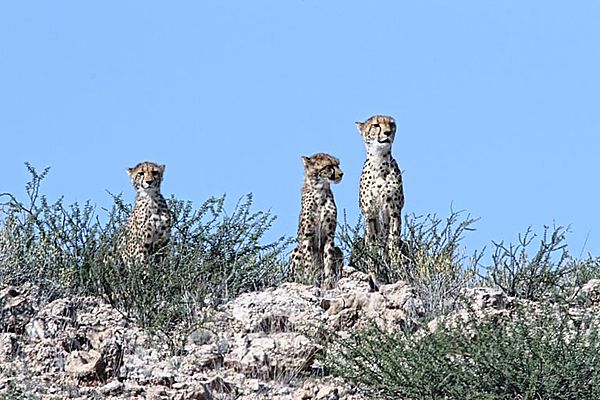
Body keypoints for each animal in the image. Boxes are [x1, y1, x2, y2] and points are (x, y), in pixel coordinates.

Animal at [290, 152, 342, 288]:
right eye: (329, 166)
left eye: (338, 164)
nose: (341, 174)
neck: (320, 192)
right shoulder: (307, 235)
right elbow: (308, 260)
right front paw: (309, 279)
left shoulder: (330, 234)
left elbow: (328, 259)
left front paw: (328, 281)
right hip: (296, 250)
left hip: (339, 250)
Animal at [356, 114, 404, 248]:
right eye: (376, 125)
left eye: (391, 124)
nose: (388, 132)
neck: (379, 161)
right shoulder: (369, 213)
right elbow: (371, 241)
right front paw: (371, 254)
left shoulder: (395, 211)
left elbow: (393, 238)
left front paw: (393, 253)